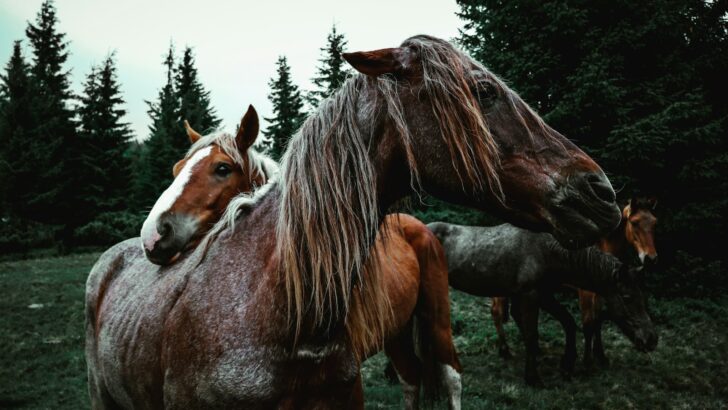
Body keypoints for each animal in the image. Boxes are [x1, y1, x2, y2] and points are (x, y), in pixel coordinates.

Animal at [141, 110, 462, 408]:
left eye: (222, 168)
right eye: (176, 169)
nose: (153, 234)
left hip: (437, 320)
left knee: (452, 376)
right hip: (397, 331)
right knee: (411, 378)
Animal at [428, 222, 658, 386]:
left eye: (643, 297)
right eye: (627, 297)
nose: (651, 339)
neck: (550, 251)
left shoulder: (545, 295)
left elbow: (568, 323)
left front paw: (567, 365)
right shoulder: (531, 295)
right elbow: (533, 334)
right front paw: (533, 377)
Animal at [578, 197, 658, 367]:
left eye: (655, 223)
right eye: (634, 222)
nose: (651, 259)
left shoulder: (604, 292)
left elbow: (598, 321)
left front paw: (601, 357)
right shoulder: (585, 292)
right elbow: (588, 324)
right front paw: (587, 362)